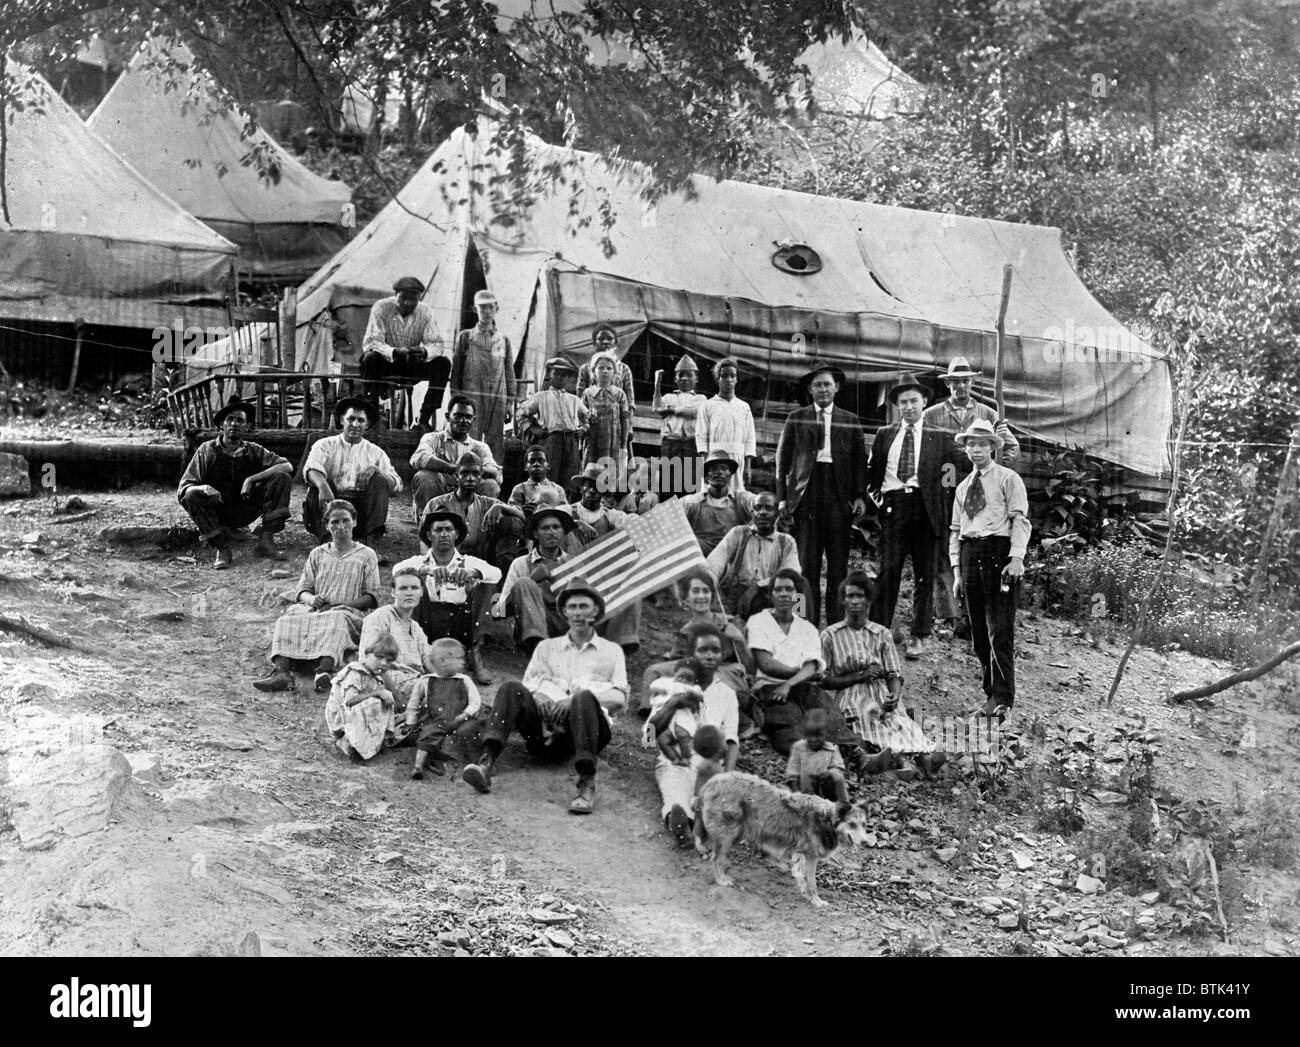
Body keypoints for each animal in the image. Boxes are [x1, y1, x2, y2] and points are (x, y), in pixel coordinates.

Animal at [696, 769, 868, 905]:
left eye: (864, 825)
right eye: (852, 824)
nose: (865, 842)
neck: (827, 821)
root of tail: (712, 781)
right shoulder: (810, 857)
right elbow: (812, 883)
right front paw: (816, 901)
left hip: (739, 832)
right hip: (729, 834)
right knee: (715, 858)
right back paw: (721, 879)